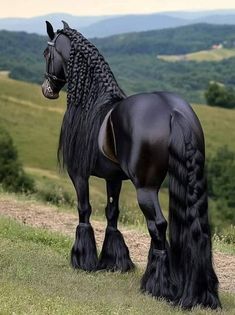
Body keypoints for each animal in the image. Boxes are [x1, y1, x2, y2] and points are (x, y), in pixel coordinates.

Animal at [41, 21, 220, 310]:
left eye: (47, 54)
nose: (47, 89)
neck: (92, 101)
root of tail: (173, 112)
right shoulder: (113, 178)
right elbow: (112, 213)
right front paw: (115, 261)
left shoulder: (78, 174)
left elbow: (84, 210)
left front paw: (84, 260)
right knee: (198, 231)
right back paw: (200, 293)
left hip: (145, 189)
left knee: (158, 226)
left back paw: (156, 285)